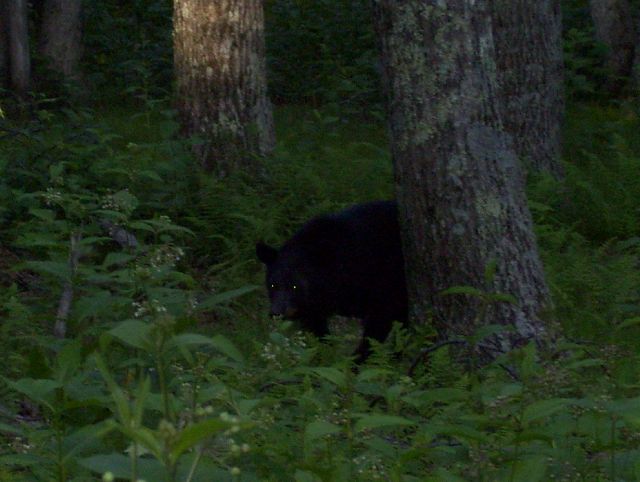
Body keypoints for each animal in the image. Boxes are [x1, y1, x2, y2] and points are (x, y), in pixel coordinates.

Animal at [256, 200, 407, 362]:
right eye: (273, 285)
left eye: (295, 286)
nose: (276, 313)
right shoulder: (313, 306)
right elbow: (316, 328)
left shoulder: (381, 281)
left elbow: (379, 323)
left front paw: (356, 361)